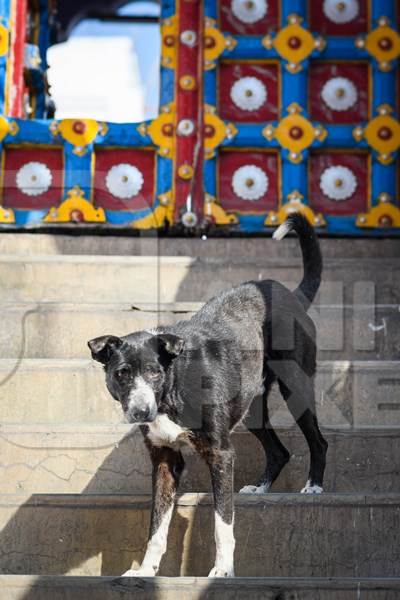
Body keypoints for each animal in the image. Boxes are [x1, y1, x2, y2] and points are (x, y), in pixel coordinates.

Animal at [88, 213, 328, 580]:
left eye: (154, 372)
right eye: (121, 374)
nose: (141, 412)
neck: (170, 392)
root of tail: (292, 295)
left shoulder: (220, 455)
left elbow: (222, 522)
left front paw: (223, 570)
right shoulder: (165, 461)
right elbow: (156, 527)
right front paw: (146, 570)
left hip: (296, 387)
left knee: (317, 440)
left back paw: (313, 486)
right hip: (251, 406)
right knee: (279, 451)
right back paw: (261, 487)